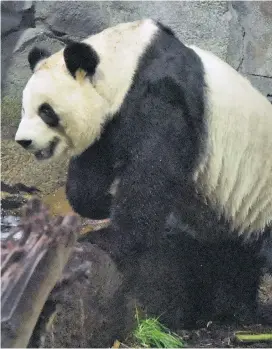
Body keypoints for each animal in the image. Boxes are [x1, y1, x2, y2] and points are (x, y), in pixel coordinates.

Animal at [15, 19, 272, 264]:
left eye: (46, 111)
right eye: (24, 109)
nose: (23, 141)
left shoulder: (164, 95)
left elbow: (152, 172)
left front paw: (108, 240)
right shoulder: (112, 123)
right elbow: (92, 168)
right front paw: (103, 204)